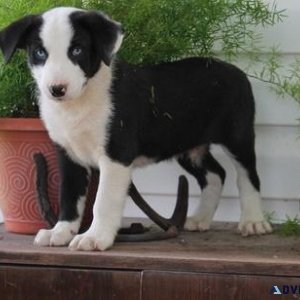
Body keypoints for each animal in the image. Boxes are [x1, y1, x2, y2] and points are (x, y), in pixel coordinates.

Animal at [0, 7, 272, 251]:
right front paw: (60, 232)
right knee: (216, 174)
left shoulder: (115, 155)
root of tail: (235, 70)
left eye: (77, 50)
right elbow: (69, 196)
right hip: (188, 146)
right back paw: (200, 219)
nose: (57, 89)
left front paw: (95, 237)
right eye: (39, 52)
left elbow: (103, 201)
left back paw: (253, 222)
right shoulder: (68, 155)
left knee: (247, 175)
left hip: (238, 136)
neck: (78, 104)